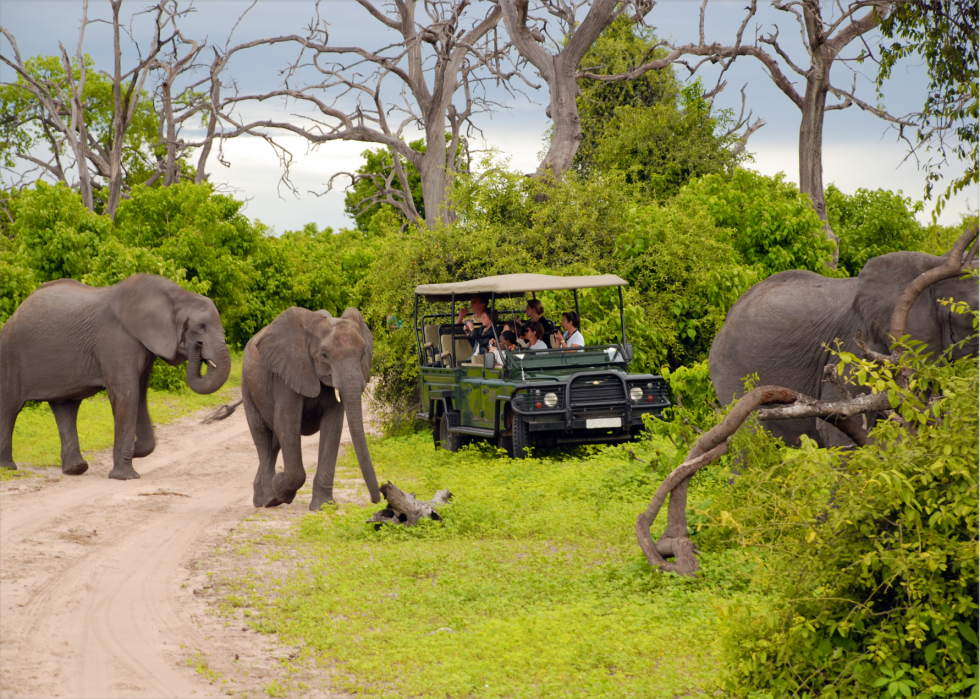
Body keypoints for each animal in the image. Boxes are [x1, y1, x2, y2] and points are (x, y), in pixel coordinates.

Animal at [0, 276, 233, 478]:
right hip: (10, 356)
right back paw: (8, 468)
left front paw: (136, 451)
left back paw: (76, 469)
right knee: (10, 407)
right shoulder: (116, 339)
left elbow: (139, 397)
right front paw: (126, 476)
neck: (174, 294)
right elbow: (127, 395)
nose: (197, 347)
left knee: (66, 407)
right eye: (201, 327)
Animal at [235, 306, 380, 508]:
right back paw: (270, 499)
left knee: (275, 437)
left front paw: (324, 507)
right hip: (248, 386)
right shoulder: (286, 373)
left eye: (363, 353)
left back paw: (260, 497)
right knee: (262, 434)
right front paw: (281, 491)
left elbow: (332, 427)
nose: (376, 500)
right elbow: (287, 423)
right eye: (324, 355)